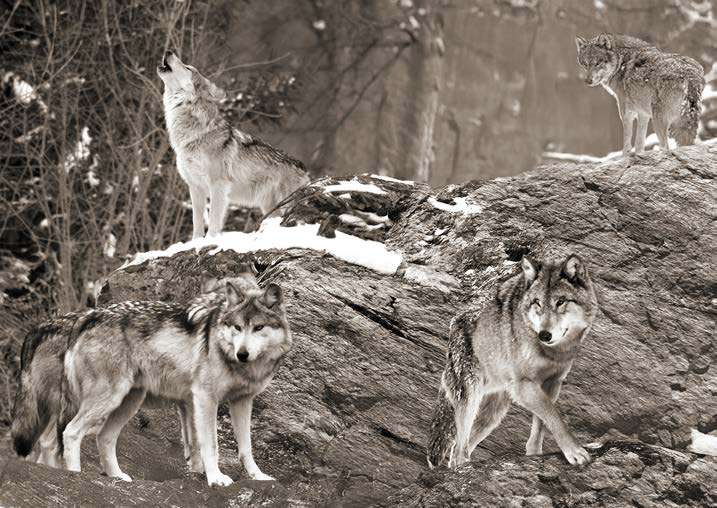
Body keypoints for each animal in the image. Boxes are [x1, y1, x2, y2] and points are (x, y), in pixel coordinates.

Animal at [157, 51, 310, 239]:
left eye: (188, 67)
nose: (168, 51)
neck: (195, 134)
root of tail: (303, 167)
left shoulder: (218, 184)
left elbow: (214, 220)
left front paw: (211, 239)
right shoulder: (195, 187)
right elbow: (197, 221)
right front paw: (196, 241)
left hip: (284, 204)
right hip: (270, 208)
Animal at [427, 254, 598, 469]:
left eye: (560, 301)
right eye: (537, 303)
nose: (544, 335)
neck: (552, 352)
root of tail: (454, 321)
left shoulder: (552, 383)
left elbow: (541, 423)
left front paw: (534, 454)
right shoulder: (524, 386)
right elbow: (554, 416)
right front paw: (574, 451)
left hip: (493, 415)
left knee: (458, 449)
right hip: (470, 399)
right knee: (458, 449)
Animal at [575, 33, 704, 155]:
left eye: (597, 63)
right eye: (585, 64)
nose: (588, 81)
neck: (620, 62)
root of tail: (690, 75)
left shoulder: (626, 114)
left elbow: (627, 145)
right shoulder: (643, 114)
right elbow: (639, 144)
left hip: (659, 120)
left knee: (665, 146)